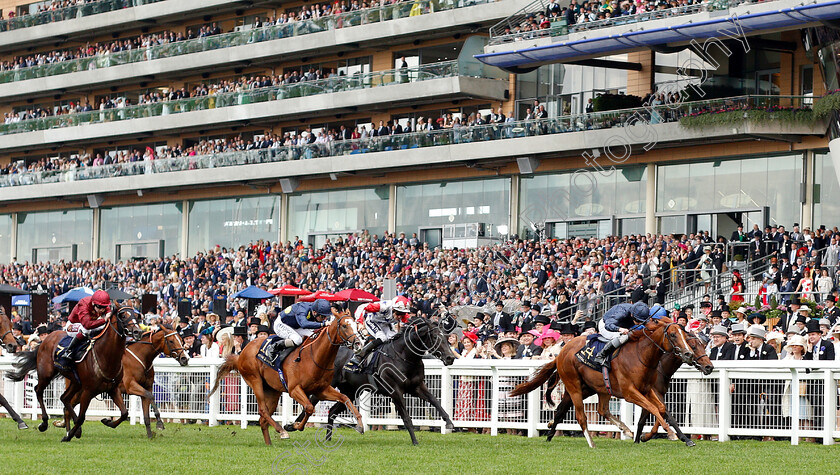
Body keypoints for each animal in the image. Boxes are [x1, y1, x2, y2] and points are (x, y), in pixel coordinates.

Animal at [8, 306, 141, 440]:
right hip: (46, 374)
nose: (138, 332)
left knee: (64, 398)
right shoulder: (88, 391)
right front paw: (68, 436)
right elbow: (82, 417)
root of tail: (46, 338)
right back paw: (44, 423)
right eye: (123, 315)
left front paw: (107, 421)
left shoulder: (113, 389)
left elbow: (124, 413)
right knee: (38, 390)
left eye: (137, 316)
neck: (105, 356)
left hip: (76, 382)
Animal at [208, 312, 362, 446]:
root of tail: (241, 353)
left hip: (272, 391)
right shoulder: (294, 389)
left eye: (356, 325)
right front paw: (292, 426)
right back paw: (281, 431)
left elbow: (344, 398)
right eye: (344, 325)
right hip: (254, 380)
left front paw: (360, 425)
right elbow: (309, 407)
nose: (358, 343)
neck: (315, 357)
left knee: (263, 419)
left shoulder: (322, 390)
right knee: (263, 410)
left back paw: (269, 443)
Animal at [290, 316, 460, 446]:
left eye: (447, 338)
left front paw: (449, 422)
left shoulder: (417, 387)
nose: (450, 358)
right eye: (435, 337)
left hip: (350, 392)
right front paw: (415, 441)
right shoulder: (395, 392)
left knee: (331, 411)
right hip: (326, 386)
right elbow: (406, 417)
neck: (404, 356)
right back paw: (292, 425)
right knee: (311, 402)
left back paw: (328, 438)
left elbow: (435, 401)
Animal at [512, 318, 708, 448]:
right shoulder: (630, 393)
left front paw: (647, 436)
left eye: (687, 338)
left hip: (595, 388)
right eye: (673, 335)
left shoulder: (647, 390)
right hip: (574, 385)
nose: (689, 354)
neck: (642, 356)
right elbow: (654, 409)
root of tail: (561, 352)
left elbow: (660, 409)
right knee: (580, 416)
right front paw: (671, 434)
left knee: (592, 409)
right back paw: (590, 442)